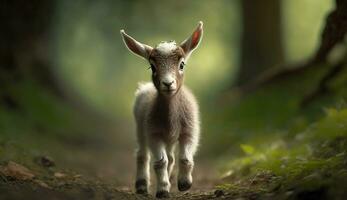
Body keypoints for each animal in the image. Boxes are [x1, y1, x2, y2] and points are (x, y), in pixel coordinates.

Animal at [121, 21, 203, 198]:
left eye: (182, 64)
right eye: (152, 67)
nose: (168, 83)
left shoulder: (190, 131)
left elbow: (185, 158)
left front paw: (184, 183)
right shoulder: (154, 133)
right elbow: (160, 162)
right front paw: (163, 190)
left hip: (169, 139)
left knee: (171, 157)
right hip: (140, 128)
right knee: (142, 154)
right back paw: (142, 185)